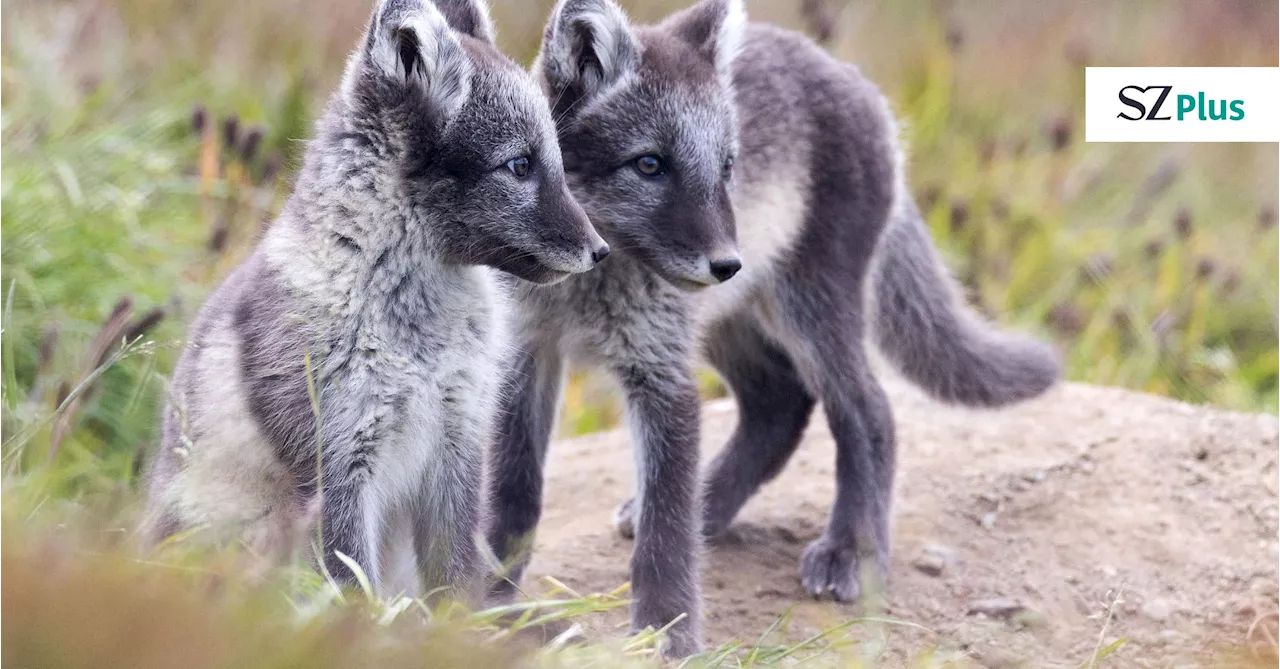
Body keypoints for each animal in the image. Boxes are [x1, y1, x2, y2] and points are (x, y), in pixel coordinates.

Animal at [483, 0, 1054, 654]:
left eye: (727, 167)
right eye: (649, 164)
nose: (727, 263)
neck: (585, 285)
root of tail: (847, 75)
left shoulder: (662, 373)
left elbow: (666, 531)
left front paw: (666, 631)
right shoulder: (525, 355)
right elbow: (514, 490)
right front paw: (489, 597)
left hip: (811, 310)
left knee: (869, 413)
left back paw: (850, 551)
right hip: (731, 324)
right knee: (781, 406)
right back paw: (712, 509)